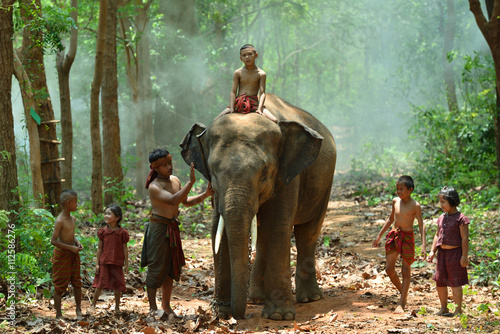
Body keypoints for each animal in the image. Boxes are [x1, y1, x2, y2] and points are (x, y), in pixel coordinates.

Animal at [180, 94, 336, 320]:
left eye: (264, 173)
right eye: (214, 172)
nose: (237, 315)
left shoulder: (288, 177)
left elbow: (278, 227)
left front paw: (280, 316)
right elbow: (218, 230)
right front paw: (221, 313)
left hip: (325, 184)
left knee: (308, 232)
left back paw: (310, 298)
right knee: (263, 236)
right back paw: (256, 299)